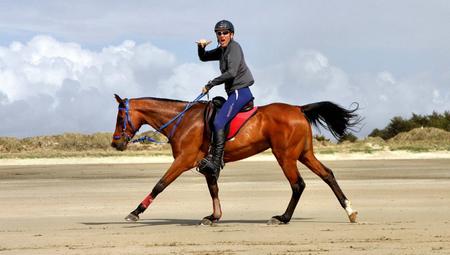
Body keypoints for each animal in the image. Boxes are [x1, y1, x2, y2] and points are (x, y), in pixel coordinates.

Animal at [110, 94, 360, 225]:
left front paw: (135, 212)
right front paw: (214, 216)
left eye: (120, 117)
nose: (115, 143)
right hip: (304, 154)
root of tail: (298, 108)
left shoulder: (184, 160)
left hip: (286, 156)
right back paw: (350, 210)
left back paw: (282, 217)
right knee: (327, 174)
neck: (182, 120)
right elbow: (214, 189)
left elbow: (160, 184)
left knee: (298, 184)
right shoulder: (207, 165)